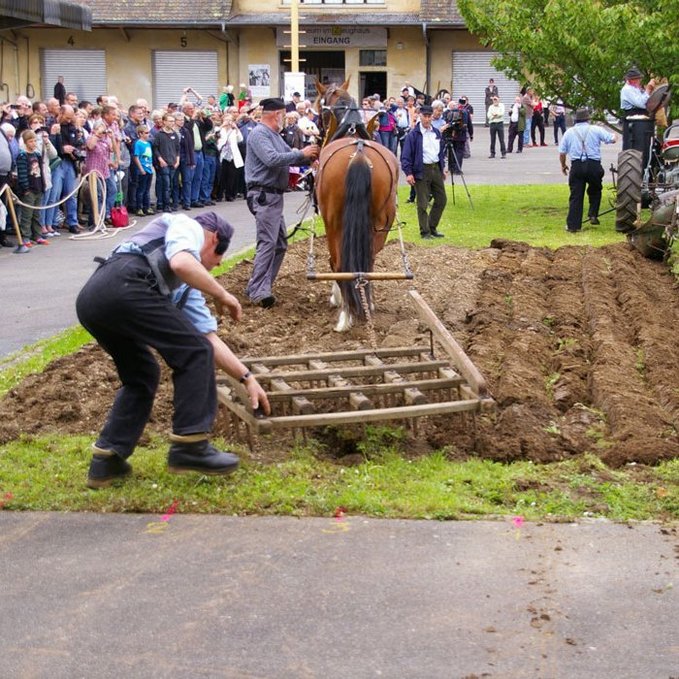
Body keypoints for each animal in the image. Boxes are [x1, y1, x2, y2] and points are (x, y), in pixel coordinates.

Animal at [314, 79, 402, 332]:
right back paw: (366, 304)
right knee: (368, 261)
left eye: (319, 108)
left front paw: (336, 298)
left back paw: (345, 315)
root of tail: (360, 154)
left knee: (340, 263)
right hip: (380, 224)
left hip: (334, 222)